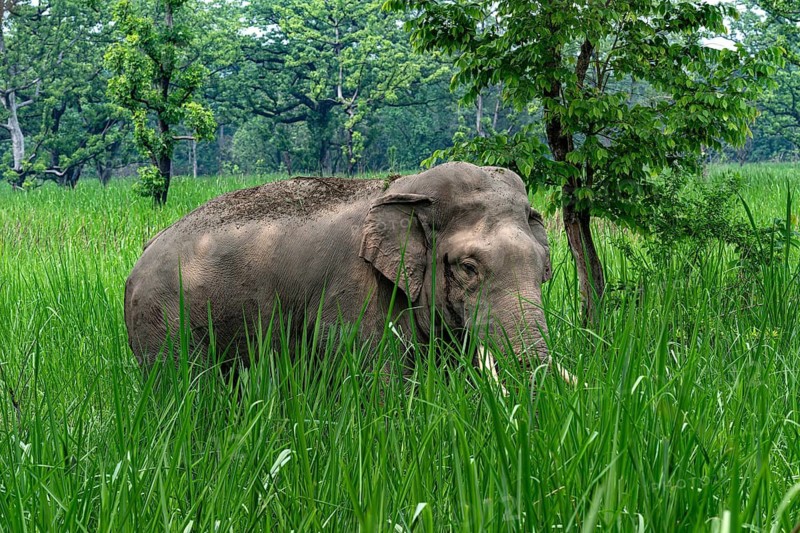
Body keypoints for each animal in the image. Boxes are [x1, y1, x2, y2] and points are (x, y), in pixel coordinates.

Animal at [124, 162, 569, 385]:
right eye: (469, 268)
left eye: (542, 269)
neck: (404, 189)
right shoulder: (353, 291)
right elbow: (377, 379)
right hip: (163, 321)